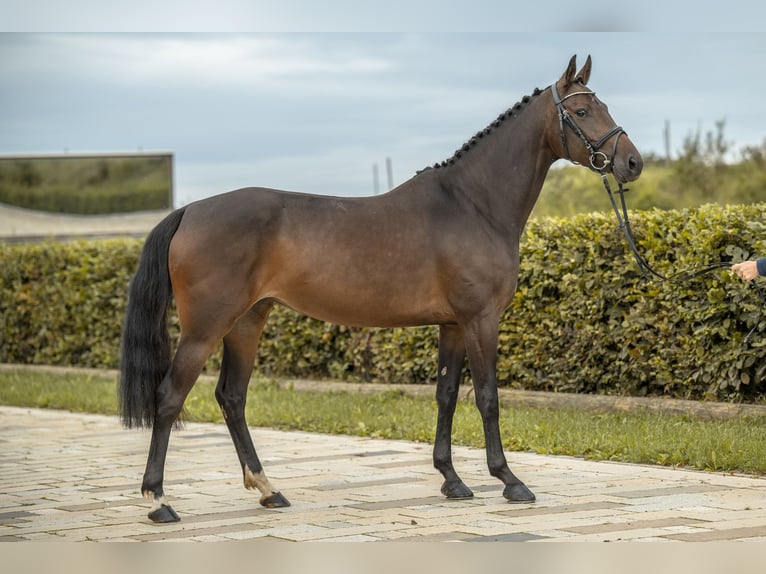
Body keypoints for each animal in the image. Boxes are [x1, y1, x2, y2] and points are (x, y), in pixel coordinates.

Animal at [120, 56, 644, 524]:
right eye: (582, 111)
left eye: (602, 105)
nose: (632, 163)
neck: (472, 205)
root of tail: (189, 211)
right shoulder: (480, 319)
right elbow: (488, 397)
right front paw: (509, 481)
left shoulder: (453, 324)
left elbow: (446, 394)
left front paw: (452, 481)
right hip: (206, 328)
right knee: (169, 397)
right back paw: (158, 501)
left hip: (248, 320)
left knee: (232, 398)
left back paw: (269, 490)